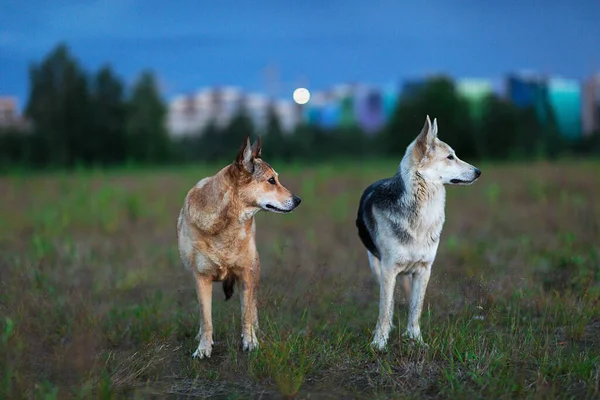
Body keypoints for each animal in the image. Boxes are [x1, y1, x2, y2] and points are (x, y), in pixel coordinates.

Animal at [177, 135, 300, 360]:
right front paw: (203, 349)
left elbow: (246, 315)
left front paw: (250, 342)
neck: (226, 225)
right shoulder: (201, 277)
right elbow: (206, 318)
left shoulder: (245, 273)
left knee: (253, 306)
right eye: (271, 181)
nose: (298, 200)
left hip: (255, 269)